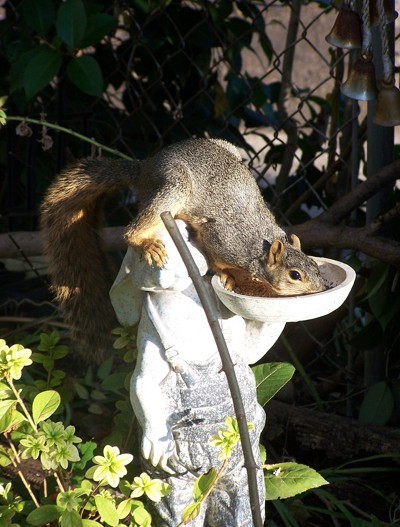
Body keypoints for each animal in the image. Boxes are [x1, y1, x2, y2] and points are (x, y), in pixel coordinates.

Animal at [40, 136, 324, 360]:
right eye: (295, 275)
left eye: (315, 266)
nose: (321, 288)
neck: (259, 245)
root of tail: (145, 167)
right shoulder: (222, 240)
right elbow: (216, 259)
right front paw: (227, 276)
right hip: (174, 185)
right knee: (133, 229)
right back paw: (144, 242)